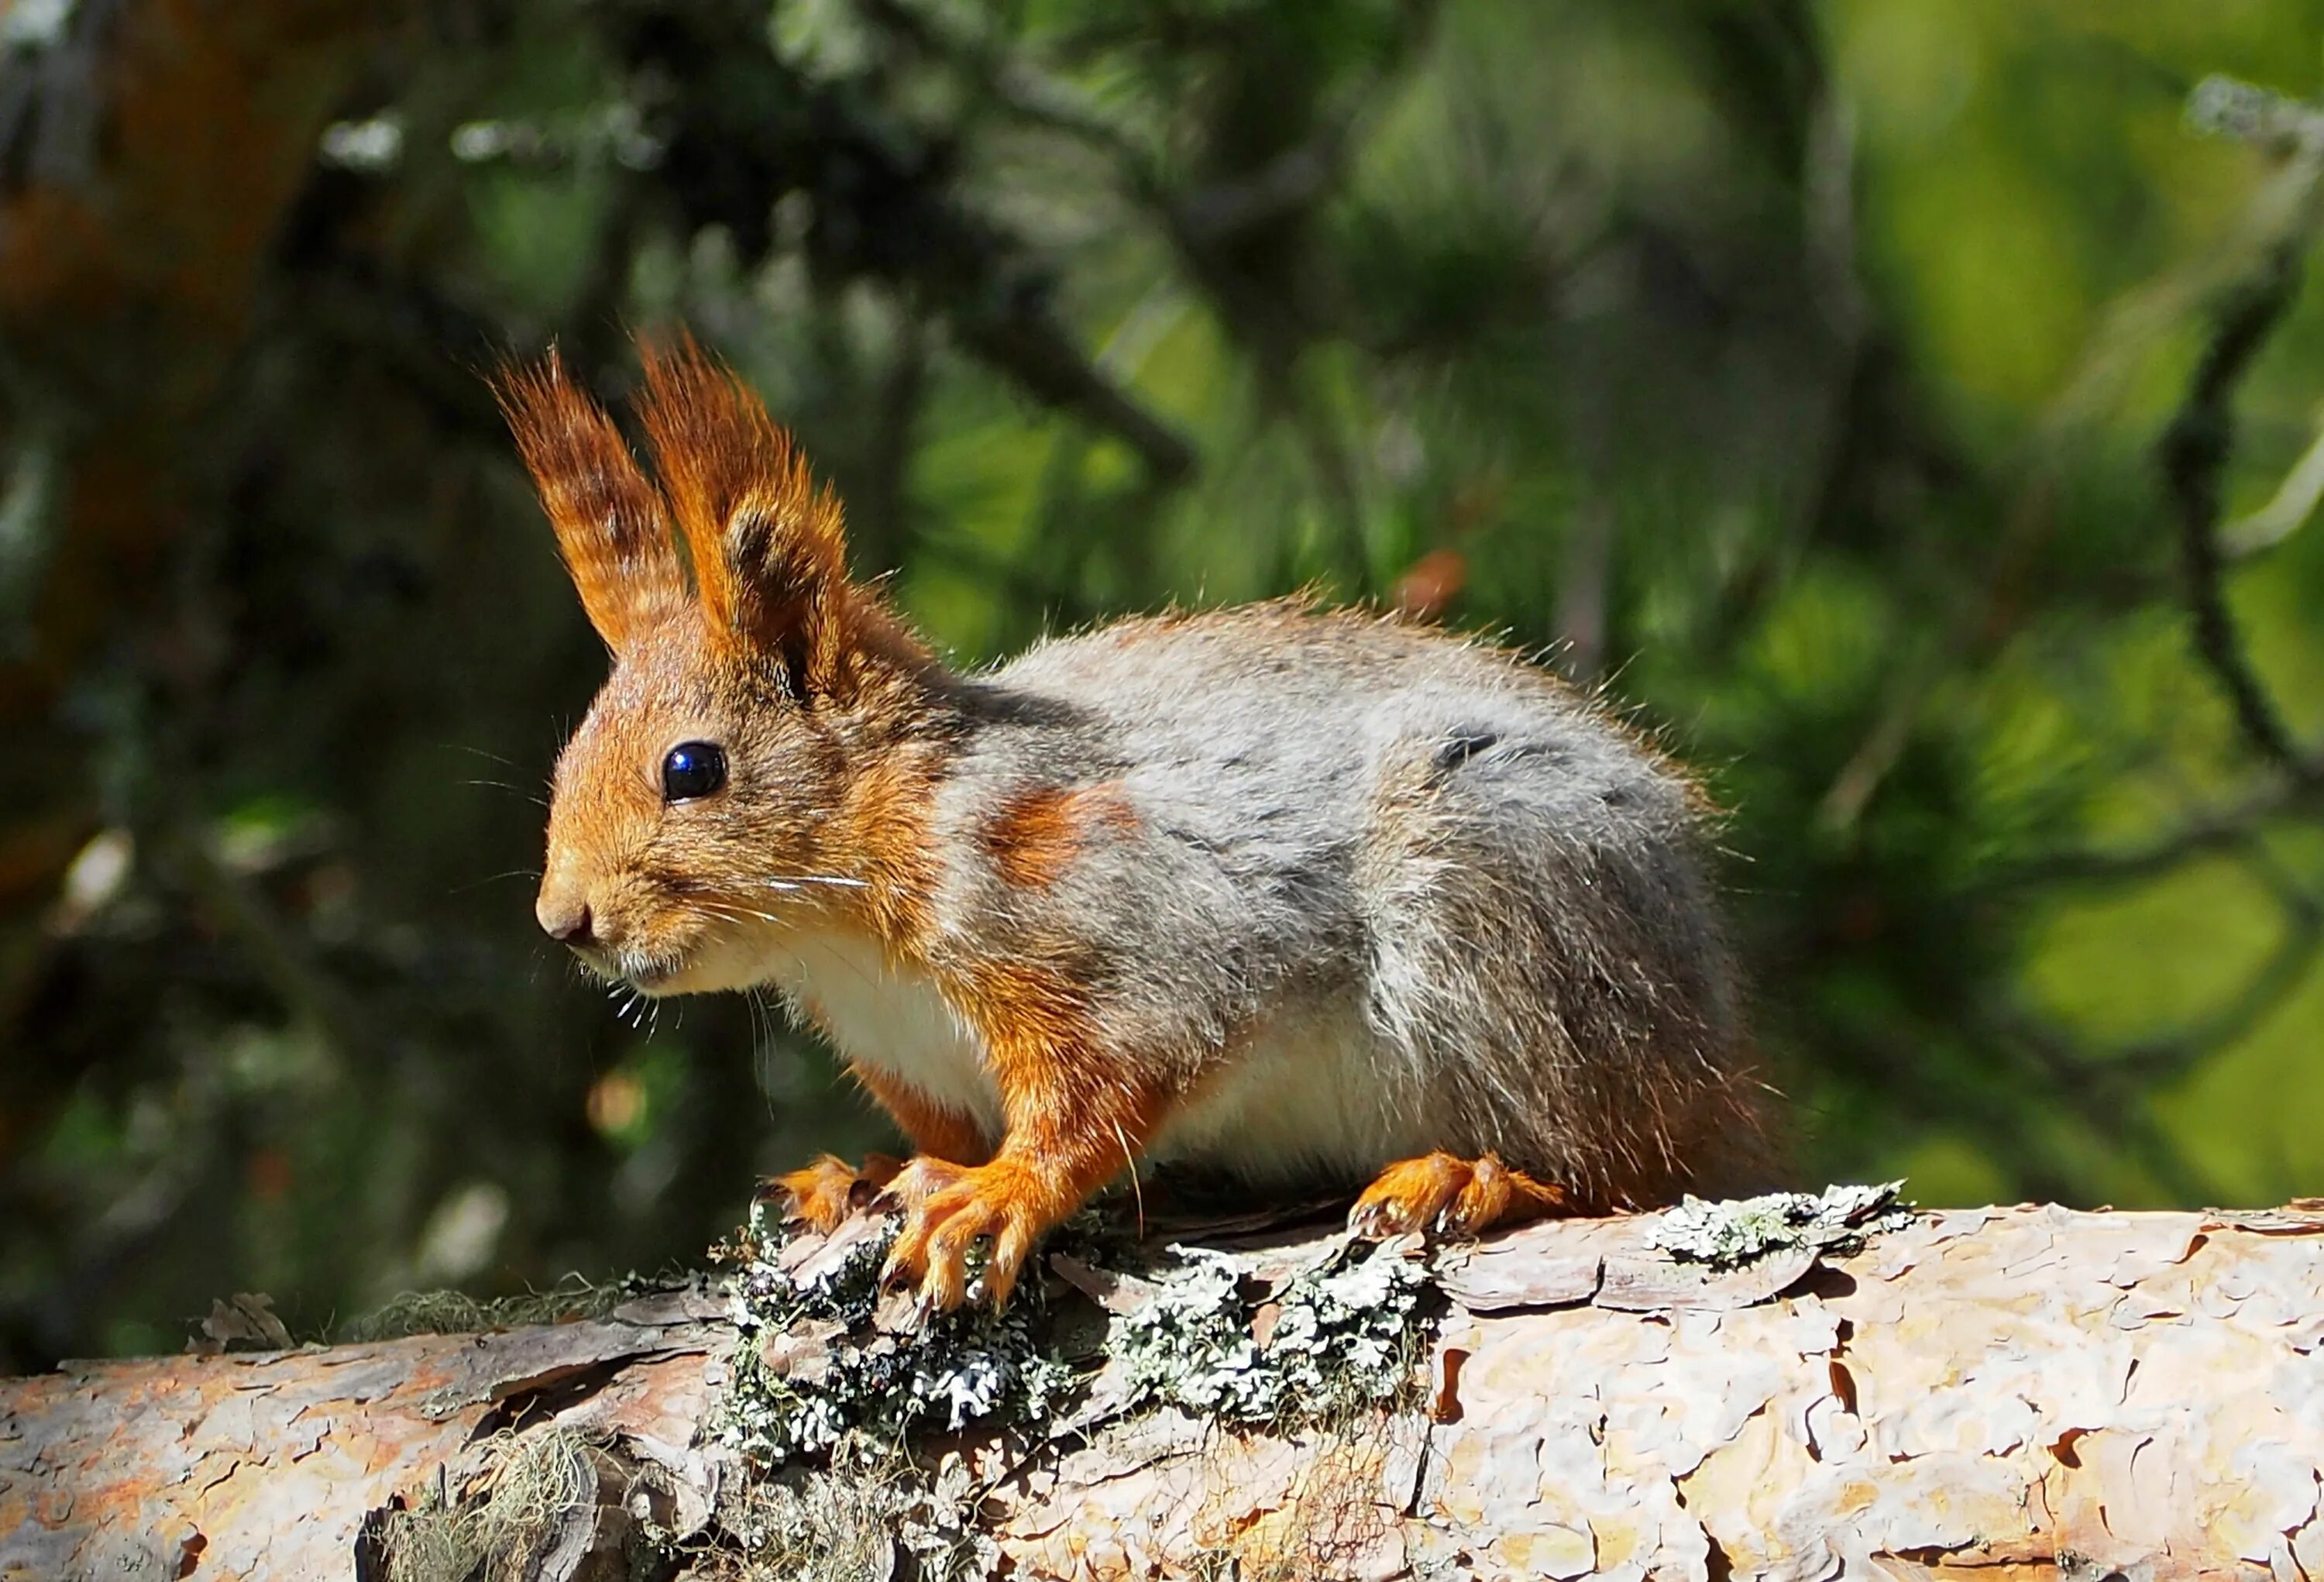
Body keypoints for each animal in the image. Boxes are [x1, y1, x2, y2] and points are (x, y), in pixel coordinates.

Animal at [500, 332, 1776, 1310]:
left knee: (1630, 1166)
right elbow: (943, 1133)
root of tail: (1714, 1044)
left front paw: (999, 1195)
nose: (564, 921)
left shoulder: (1112, 920)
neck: (845, 931)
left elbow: (1112, 1083)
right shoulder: (911, 1055)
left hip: (1510, 918)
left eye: (692, 767)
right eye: (568, 752)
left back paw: (1475, 1177)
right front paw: (870, 1174)